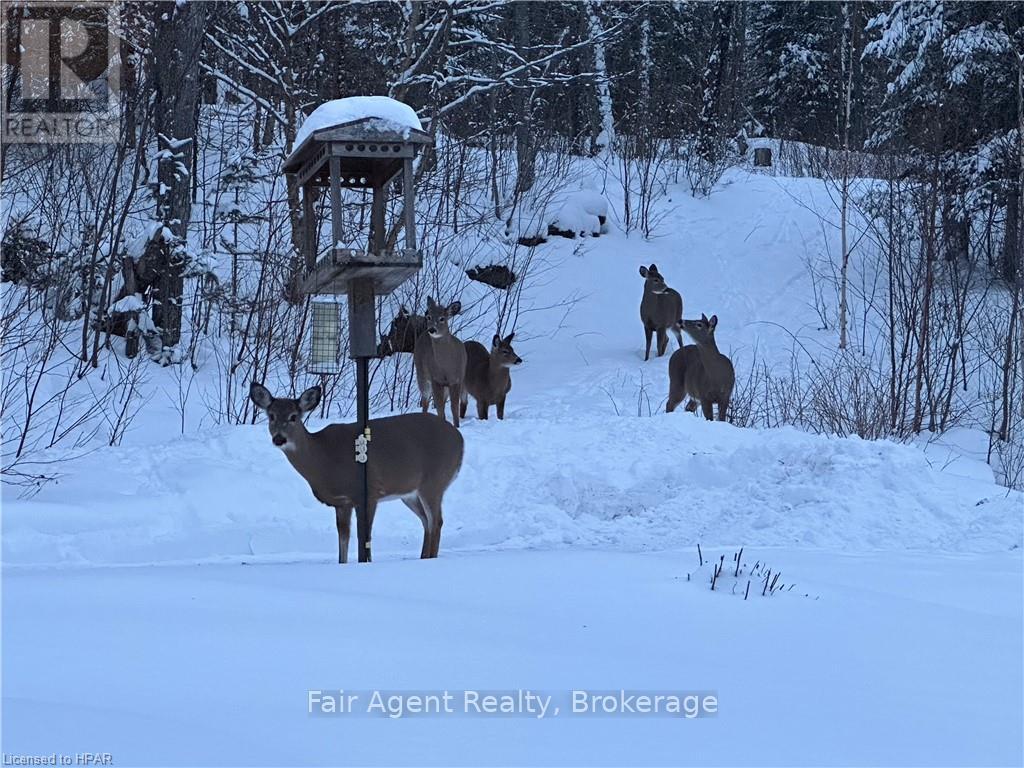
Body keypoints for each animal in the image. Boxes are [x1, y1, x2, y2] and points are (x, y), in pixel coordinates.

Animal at [249, 385, 462, 565]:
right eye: (271, 416)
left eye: (293, 417)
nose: (279, 439)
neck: (322, 459)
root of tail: (460, 440)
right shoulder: (343, 502)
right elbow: (343, 537)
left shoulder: (368, 492)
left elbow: (364, 537)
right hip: (409, 493)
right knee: (426, 522)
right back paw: (423, 558)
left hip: (434, 481)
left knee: (436, 522)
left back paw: (430, 560)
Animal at [411, 296, 468, 428]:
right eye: (428, 317)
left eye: (442, 318)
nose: (432, 329)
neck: (446, 366)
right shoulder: (435, 379)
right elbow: (440, 408)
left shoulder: (456, 379)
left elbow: (454, 407)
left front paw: (457, 426)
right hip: (421, 373)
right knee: (425, 400)